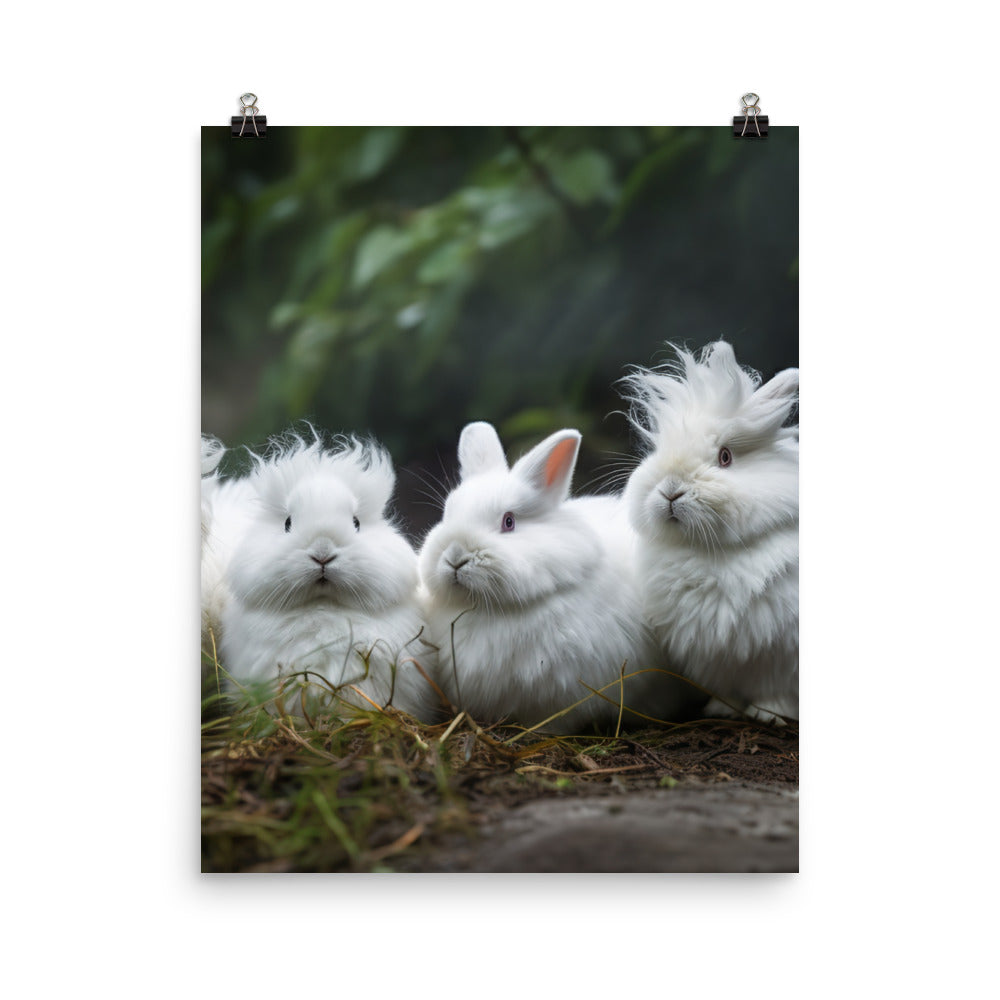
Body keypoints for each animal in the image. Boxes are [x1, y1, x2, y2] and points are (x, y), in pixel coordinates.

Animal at [620, 340, 799, 722]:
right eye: (658, 450)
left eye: (725, 457)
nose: (670, 490)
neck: (707, 552)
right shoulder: (719, 658)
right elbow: (728, 688)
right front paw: (721, 710)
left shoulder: (783, 654)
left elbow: (778, 690)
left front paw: (768, 714)